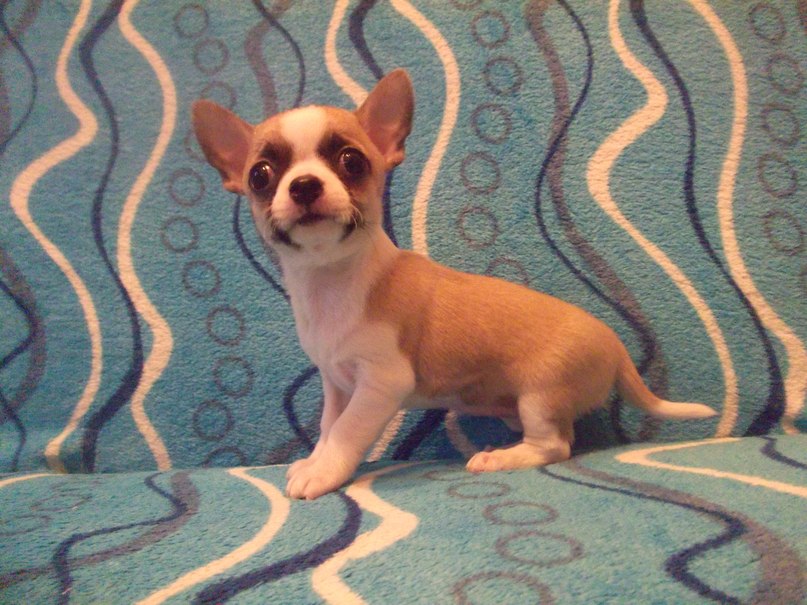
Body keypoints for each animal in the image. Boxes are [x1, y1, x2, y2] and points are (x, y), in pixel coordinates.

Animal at [192, 69, 716, 500]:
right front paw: (315, 460)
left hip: (540, 395)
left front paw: (324, 473)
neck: (332, 279)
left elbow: (347, 432)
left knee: (555, 446)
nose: (303, 185)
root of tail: (615, 347)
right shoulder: (337, 383)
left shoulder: (381, 383)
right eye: (261, 175)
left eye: (351, 161)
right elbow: (327, 427)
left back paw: (500, 458)